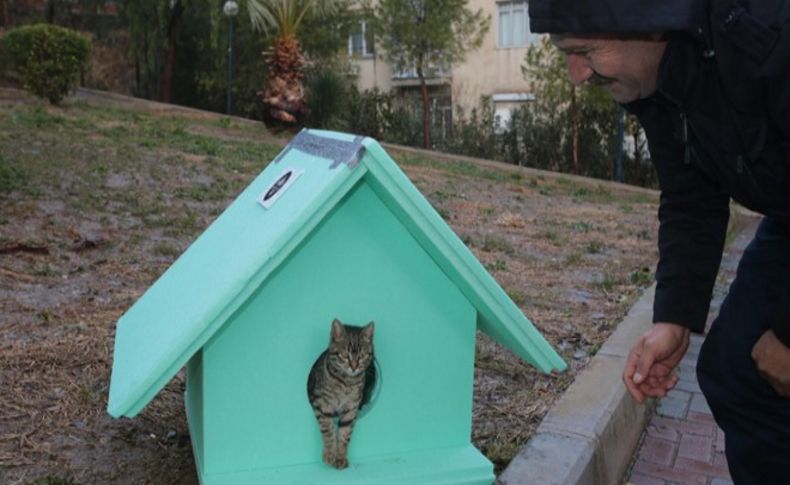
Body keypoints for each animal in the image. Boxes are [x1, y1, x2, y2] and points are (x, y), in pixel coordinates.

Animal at [308, 318, 376, 468]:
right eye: (345, 355)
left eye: (362, 356)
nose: (354, 367)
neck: (346, 382)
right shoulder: (321, 404)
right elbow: (328, 430)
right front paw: (329, 454)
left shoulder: (351, 409)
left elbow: (345, 434)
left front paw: (340, 457)